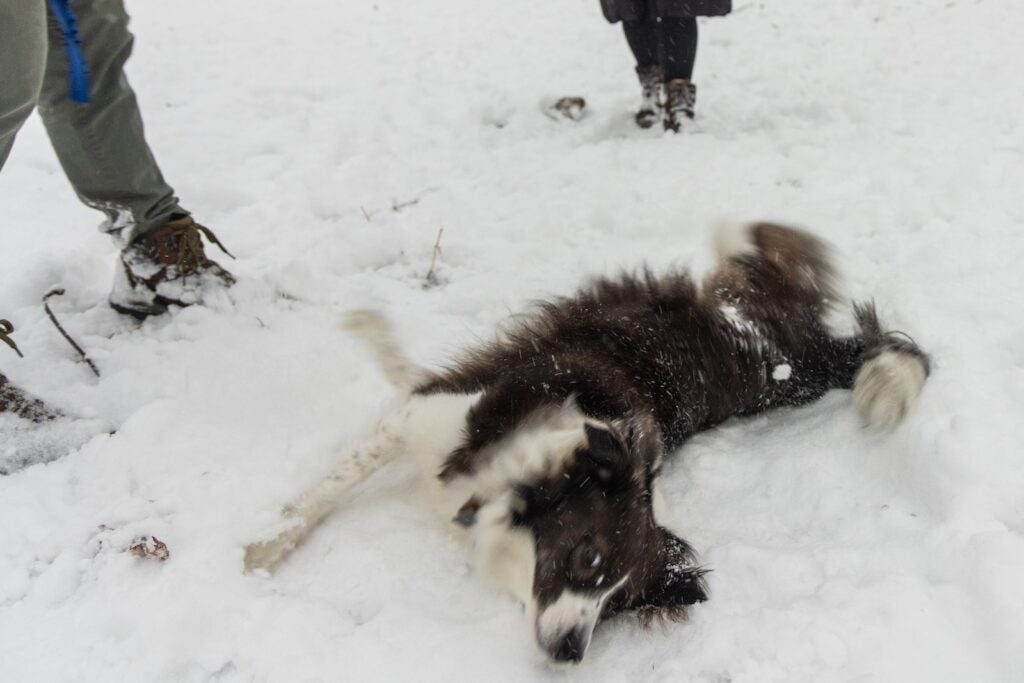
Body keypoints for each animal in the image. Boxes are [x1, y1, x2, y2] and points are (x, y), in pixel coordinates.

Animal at [245, 224, 929, 663]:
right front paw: (258, 555)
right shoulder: (426, 418)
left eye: (616, 603)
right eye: (589, 558)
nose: (573, 652)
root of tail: (803, 363)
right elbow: (316, 498)